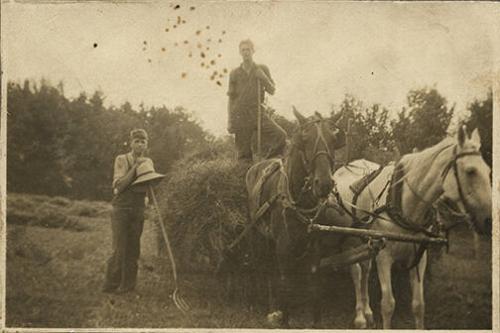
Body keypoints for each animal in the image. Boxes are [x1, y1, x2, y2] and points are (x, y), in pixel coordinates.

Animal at [244, 107, 346, 326]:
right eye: (305, 139)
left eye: (334, 140)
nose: (324, 183)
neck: (301, 202)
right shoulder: (284, 249)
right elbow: (286, 285)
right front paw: (283, 318)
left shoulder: (315, 248)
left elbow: (315, 288)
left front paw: (315, 323)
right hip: (256, 233)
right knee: (261, 265)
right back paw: (265, 305)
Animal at [332, 126, 492, 328]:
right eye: (471, 171)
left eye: (488, 171)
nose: (489, 220)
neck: (403, 204)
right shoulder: (384, 257)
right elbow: (388, 304)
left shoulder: (419, 258)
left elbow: (418, 305)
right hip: (350, 239)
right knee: (357, 272)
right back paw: (360, 317)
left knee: (365, 270)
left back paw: (367, 312)